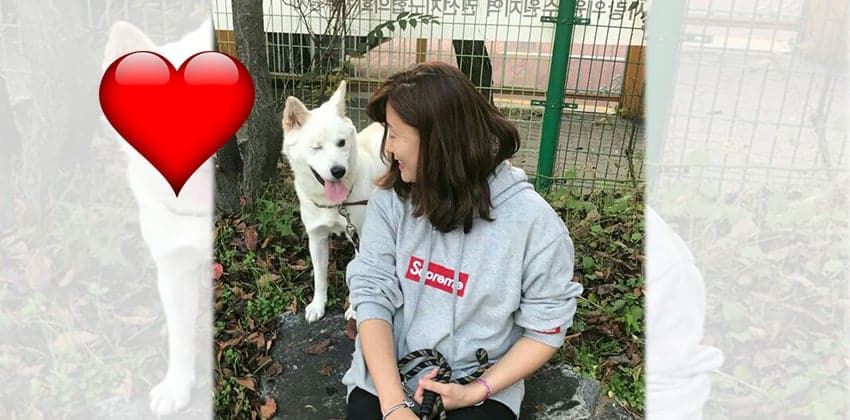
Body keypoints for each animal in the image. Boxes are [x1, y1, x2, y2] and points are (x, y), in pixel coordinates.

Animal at [280, 83, 382, 324]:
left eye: (341, 143)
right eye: (316, 147)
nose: (338, 171)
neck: (337, 205)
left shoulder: (361, 239)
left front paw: (355, 309)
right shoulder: (316, 238)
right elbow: (320, 276)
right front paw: (318, 305)